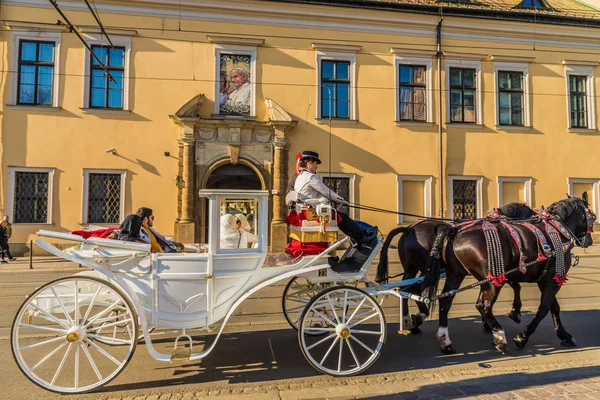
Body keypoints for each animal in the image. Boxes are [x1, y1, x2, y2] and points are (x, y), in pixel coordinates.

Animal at [376, 202, 536, 332]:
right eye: (530, 214)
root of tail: (408, 229)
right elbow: (515, 286)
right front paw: (512, 313)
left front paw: (487, 321)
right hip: (425, 270)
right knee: (413, 290)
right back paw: (417, 317)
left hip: (411, 269)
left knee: (405, 289)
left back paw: (409, 320)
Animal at [424, 194, 592, 354]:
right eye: (593, 216)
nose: (588, 241)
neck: (557, 230)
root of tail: (454, 230)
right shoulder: (552, 279)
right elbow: (544, 308)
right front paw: (522, 336)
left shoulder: (543, 279)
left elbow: (553, 306)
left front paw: (564, 335)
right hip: (491, 281)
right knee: (484, 306)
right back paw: (499, 337)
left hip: (456, 275)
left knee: (446, 301)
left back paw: (446, 341)